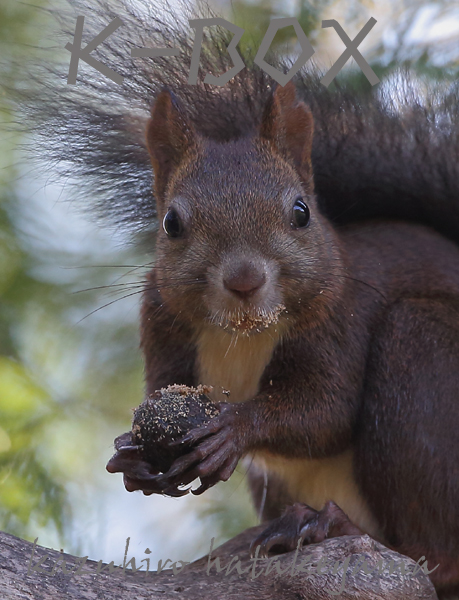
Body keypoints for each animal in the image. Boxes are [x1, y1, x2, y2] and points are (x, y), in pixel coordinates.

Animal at [25, 0, 459, 596]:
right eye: (172, 222)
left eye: (301, 211)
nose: (245, 279)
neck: (243, 334)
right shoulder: (162, 324)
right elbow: (162, 390)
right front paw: (129, 454)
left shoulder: (343, 318)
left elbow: (326, 411)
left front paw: (236, 428)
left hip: (421, 356)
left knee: (438, 555)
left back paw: (340, 528)